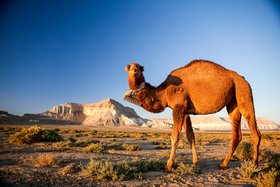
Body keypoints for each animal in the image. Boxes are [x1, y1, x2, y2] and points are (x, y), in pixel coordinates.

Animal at [124, 60, 260, 171]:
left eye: (139, 68)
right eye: (129, 67)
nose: (134, 70)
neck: (163, 92)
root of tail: (243, 79)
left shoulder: (178, 108)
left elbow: (175, 136)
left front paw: (168, 165)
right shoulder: (185, 112)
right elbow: (191, 137)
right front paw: (195, 163)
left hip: (243, 92)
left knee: (254, 130)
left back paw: (254, 164)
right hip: (233, 102)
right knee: (236, 133)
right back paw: (223, 164)